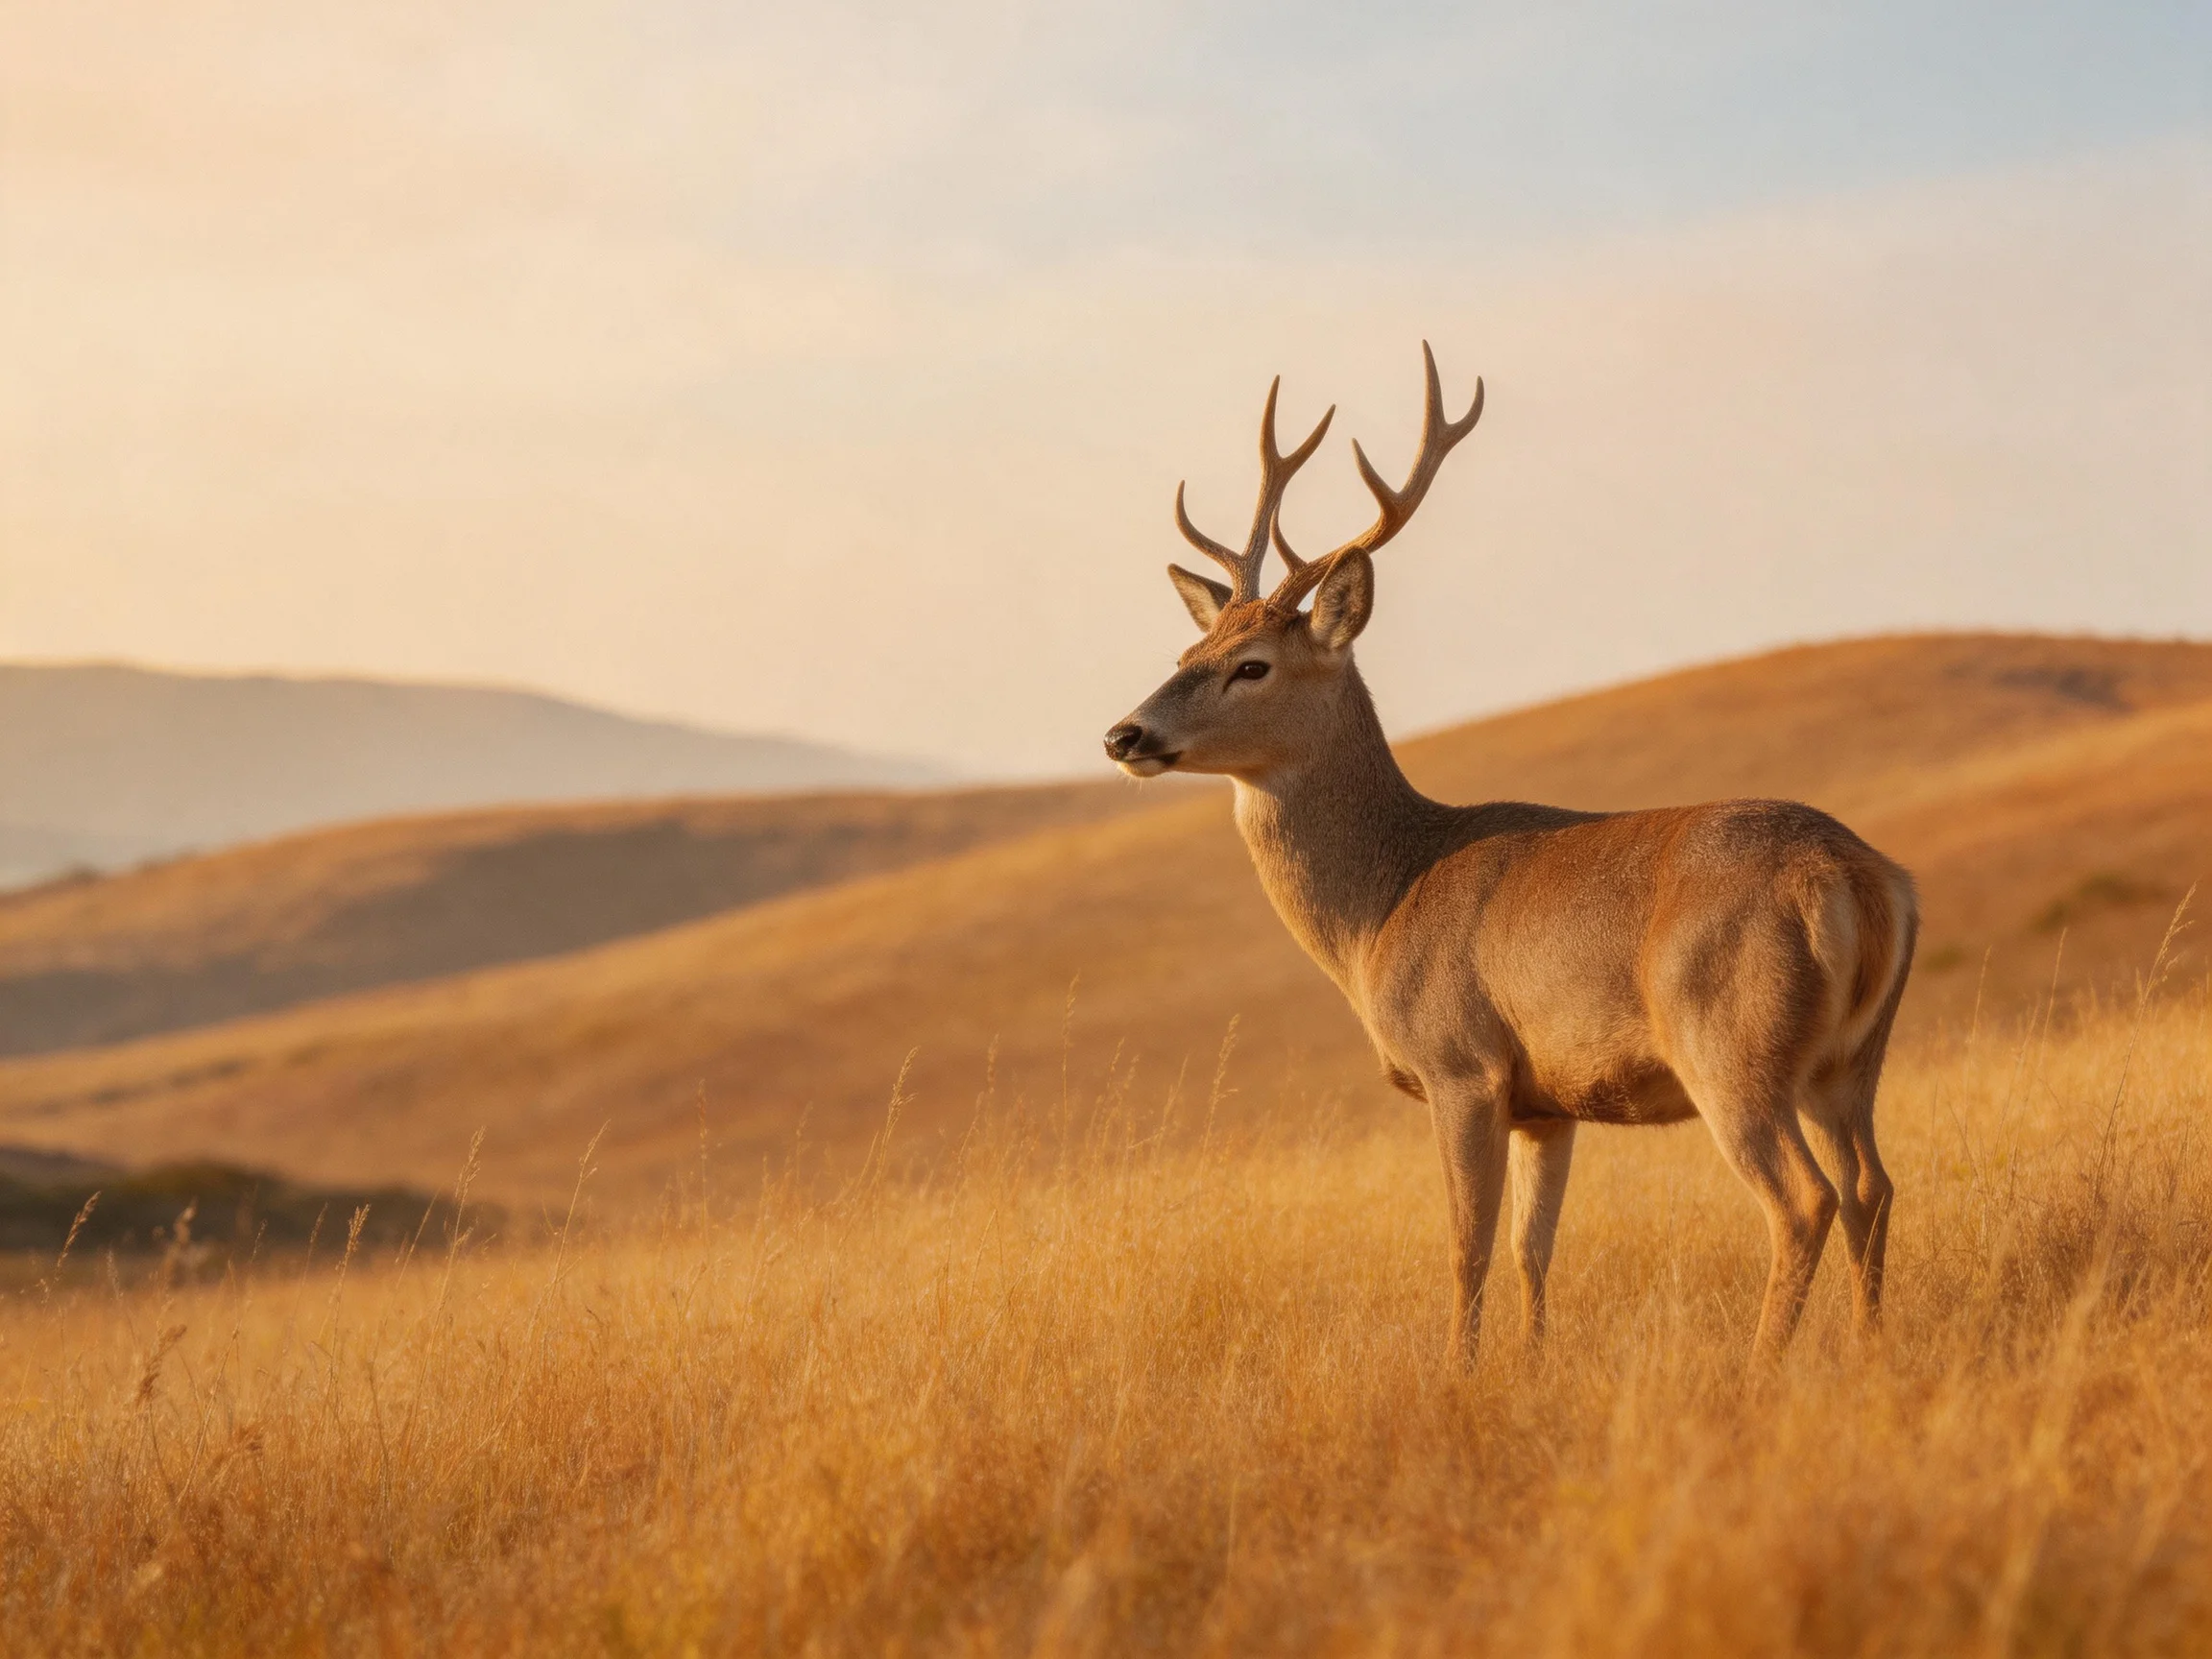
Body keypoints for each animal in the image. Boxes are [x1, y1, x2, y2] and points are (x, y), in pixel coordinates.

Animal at [1104, 345, 1917, 1366]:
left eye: (1252, 665)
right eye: (1187, 650)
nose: (1124, 735)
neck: (1381, 907)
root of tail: (1857, 878)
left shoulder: (1463, 1064)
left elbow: (1468, 1248)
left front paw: (1459, 1376)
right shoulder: (1548, 1102)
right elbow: (1536, 1249)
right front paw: (1530, 1368)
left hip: (1732, 1042)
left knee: (1805, 1200)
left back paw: (1761, 1366)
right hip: (1850, 1060)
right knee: (1872, 1187)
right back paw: (1871, 1344)